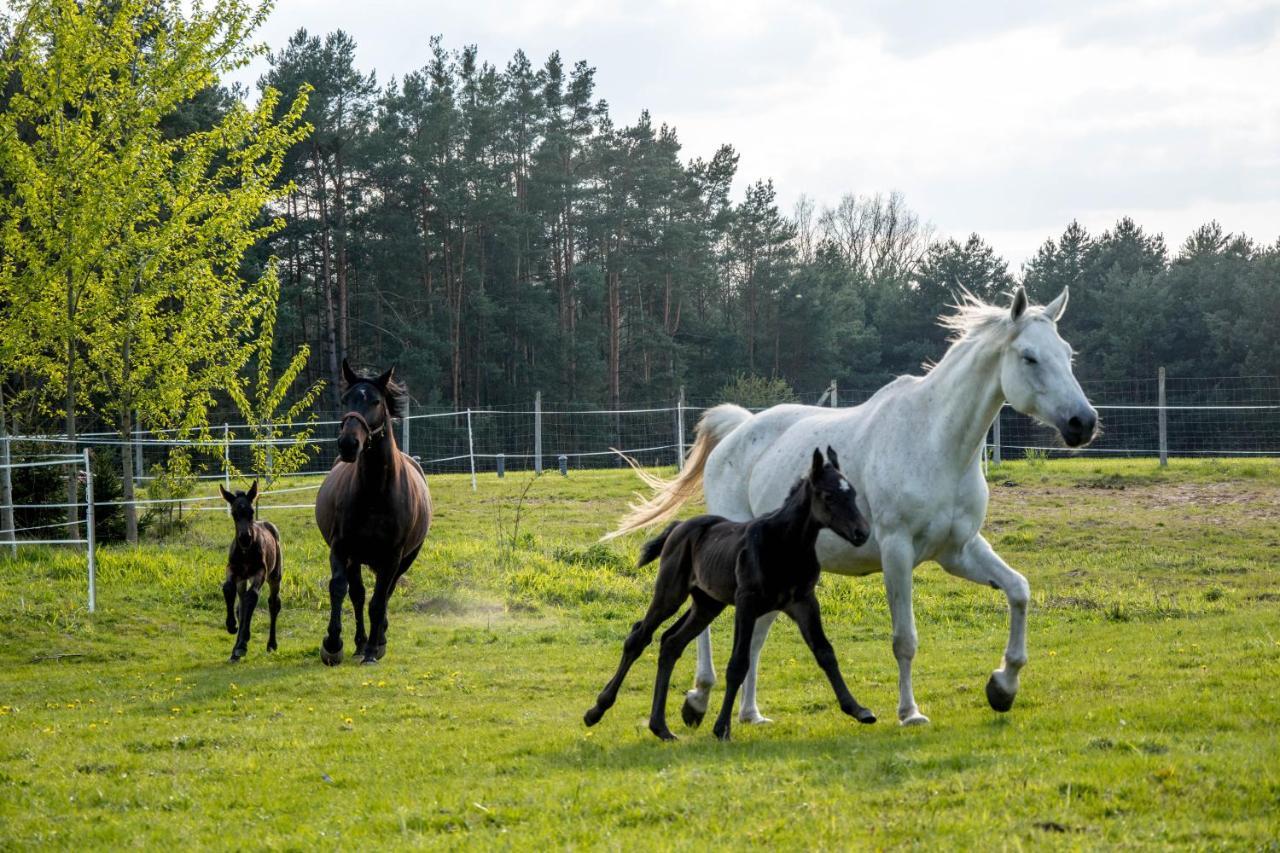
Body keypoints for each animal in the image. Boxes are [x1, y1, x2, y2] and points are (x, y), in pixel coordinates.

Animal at [217, 481, 282, 660]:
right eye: (233, 514)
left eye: (251, 512)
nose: (245, 538)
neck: (246, 551)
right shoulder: (233, 569)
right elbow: (228, 588)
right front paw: (231, 625)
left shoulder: (260, 572)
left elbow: (252, 596)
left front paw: (243, 641)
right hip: (242, 579)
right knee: (242, 604)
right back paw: (236, 648)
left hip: (275, 576)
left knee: (273, 603)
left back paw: (270, 644)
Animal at [313, 358, 430, 666]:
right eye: (346, 399)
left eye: (376, 401)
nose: (348, 444)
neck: (376, 492)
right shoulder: (342, 548)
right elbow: (339, 589)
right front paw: (333, 644)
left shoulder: (393, 556)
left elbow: (379, 601)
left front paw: (373, 651)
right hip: (358, 558)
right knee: (357, 594)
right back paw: (360, 641)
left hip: (404, 559)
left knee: (385, 594)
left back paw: (377, 640)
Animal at [586, 445, 875, 737]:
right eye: (828, 496)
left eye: (852, 493)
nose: (861, 532)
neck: (784, 543)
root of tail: (679, 526)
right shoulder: (747, 603)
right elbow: (738, 664)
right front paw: (721, 727)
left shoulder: (803, 601)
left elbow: (825, 652)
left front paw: (859, 710)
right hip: (670, 593)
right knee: (639, 637)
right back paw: (596, 711)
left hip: (707, 604)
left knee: (671, 643)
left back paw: (661, 728)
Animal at [604, 286, 1095, 722]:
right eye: (1029, 357)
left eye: (1068, 354)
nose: (1083, 423)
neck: (935, 440)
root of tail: (739, 428)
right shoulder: (898, 551)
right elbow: (905, 638)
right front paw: (910, 712)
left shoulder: (959, 550)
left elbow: (1019, 591)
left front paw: (1002, 687)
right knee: (706, 627)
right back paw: (698, 699)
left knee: (756, 635)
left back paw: (749, 714)